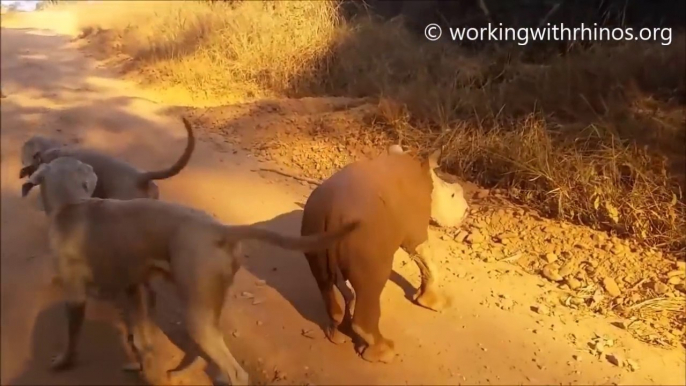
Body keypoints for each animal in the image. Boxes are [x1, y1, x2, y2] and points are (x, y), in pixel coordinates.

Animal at [24, 157, 362, 386]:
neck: (71, 204)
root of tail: (220, 230)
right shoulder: (134, 288)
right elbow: (142, 338)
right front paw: (139, 365)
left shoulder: (75, 295)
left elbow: (73, 334)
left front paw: (62, 361)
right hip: (207, 303)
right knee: (209, 352)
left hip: (197, 310)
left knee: (236, 372)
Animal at [302, 146, 470, 364]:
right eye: (452, 195)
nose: (467, 210)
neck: (426, 177)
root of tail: (331, 212)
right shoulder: (415, 226)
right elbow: (425, 255)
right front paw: (435, 303)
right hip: (364, 235)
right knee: (372, 283)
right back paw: (384, 352)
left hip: (314, 221)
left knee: (324, 280)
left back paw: (337, 334)